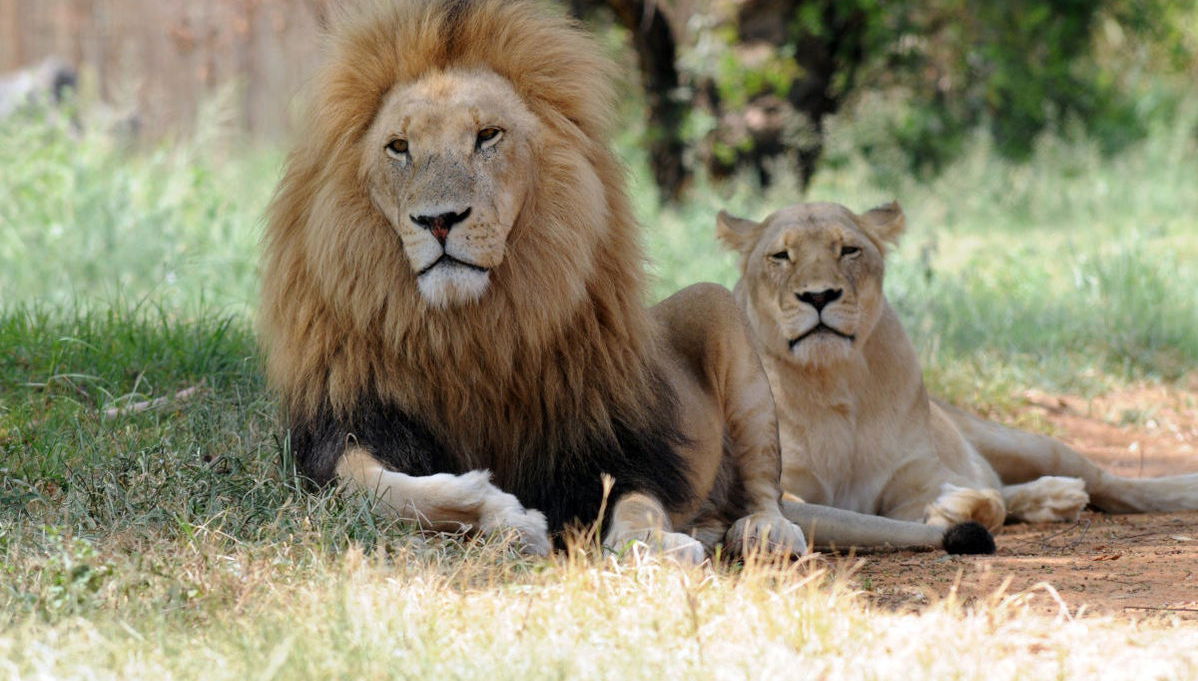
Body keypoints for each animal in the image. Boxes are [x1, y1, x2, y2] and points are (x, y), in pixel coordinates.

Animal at [260, 0, 991, 561]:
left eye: (487, 136)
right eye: (399, 147)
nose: (439, 220)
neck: (478, 329)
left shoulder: (624, 437)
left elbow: (637, 504)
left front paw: (654, 545)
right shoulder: (343, 431)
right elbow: (384, 488)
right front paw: (505, 515)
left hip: (723, 323)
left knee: (765, 489)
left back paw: (762, 532)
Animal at [719, 200, 1198, 534]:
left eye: (849, 250)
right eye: (781, 256)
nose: (819, 296)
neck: (831, 378)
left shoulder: (913, 479)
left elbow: (989, 502)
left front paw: (953, 509)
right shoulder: (785, 483)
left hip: (1024, 442)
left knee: (1111, 484)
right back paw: (1057, 497)